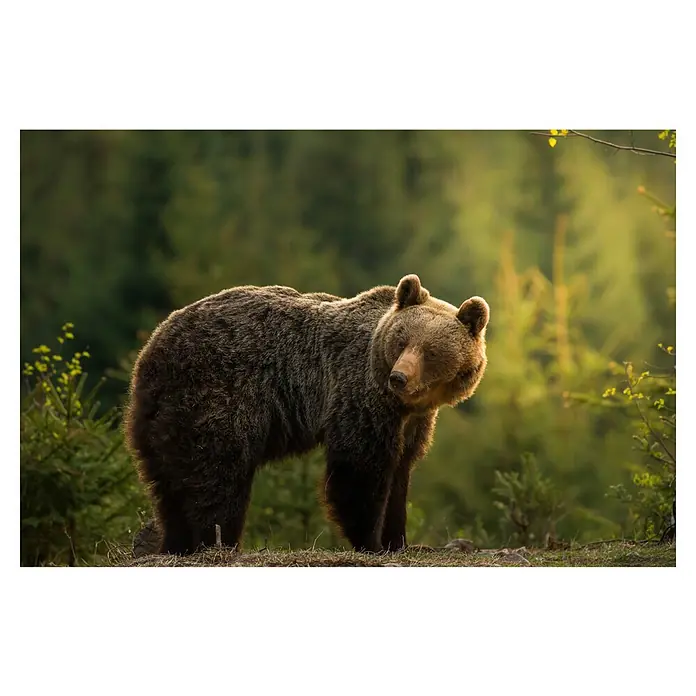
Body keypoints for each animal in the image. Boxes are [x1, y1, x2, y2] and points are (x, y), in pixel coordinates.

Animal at [124, 274, 489, 555]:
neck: (405, 404)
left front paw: (397, 540)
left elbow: (400, 472)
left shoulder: (412, 422)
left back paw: (175, 542)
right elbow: (360, 469)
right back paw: (218, 542)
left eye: (430, 351)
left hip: (162, 415)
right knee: (217, 476)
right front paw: (371, 542)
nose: (399, 377)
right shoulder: (360, 394)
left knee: (168, 483)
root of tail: (152, 348)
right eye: (401, 342)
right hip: (217, 396)